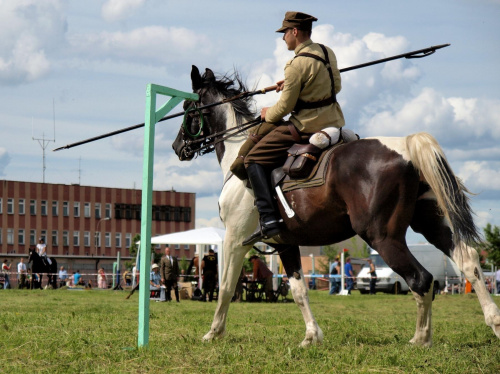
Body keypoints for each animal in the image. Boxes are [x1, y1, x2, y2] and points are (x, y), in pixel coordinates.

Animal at [170, 65, 498, 348]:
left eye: (186, 108)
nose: (177, 147)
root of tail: (405, 145)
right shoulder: (285, 243)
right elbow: (299, 290)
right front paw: (311, 336)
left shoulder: (235, 238)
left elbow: (225, 287)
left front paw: (214, 333)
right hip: (430, 223)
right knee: (468, 261)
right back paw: (493, 323)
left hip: (382, 236)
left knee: (422, 279)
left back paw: (421, 339)